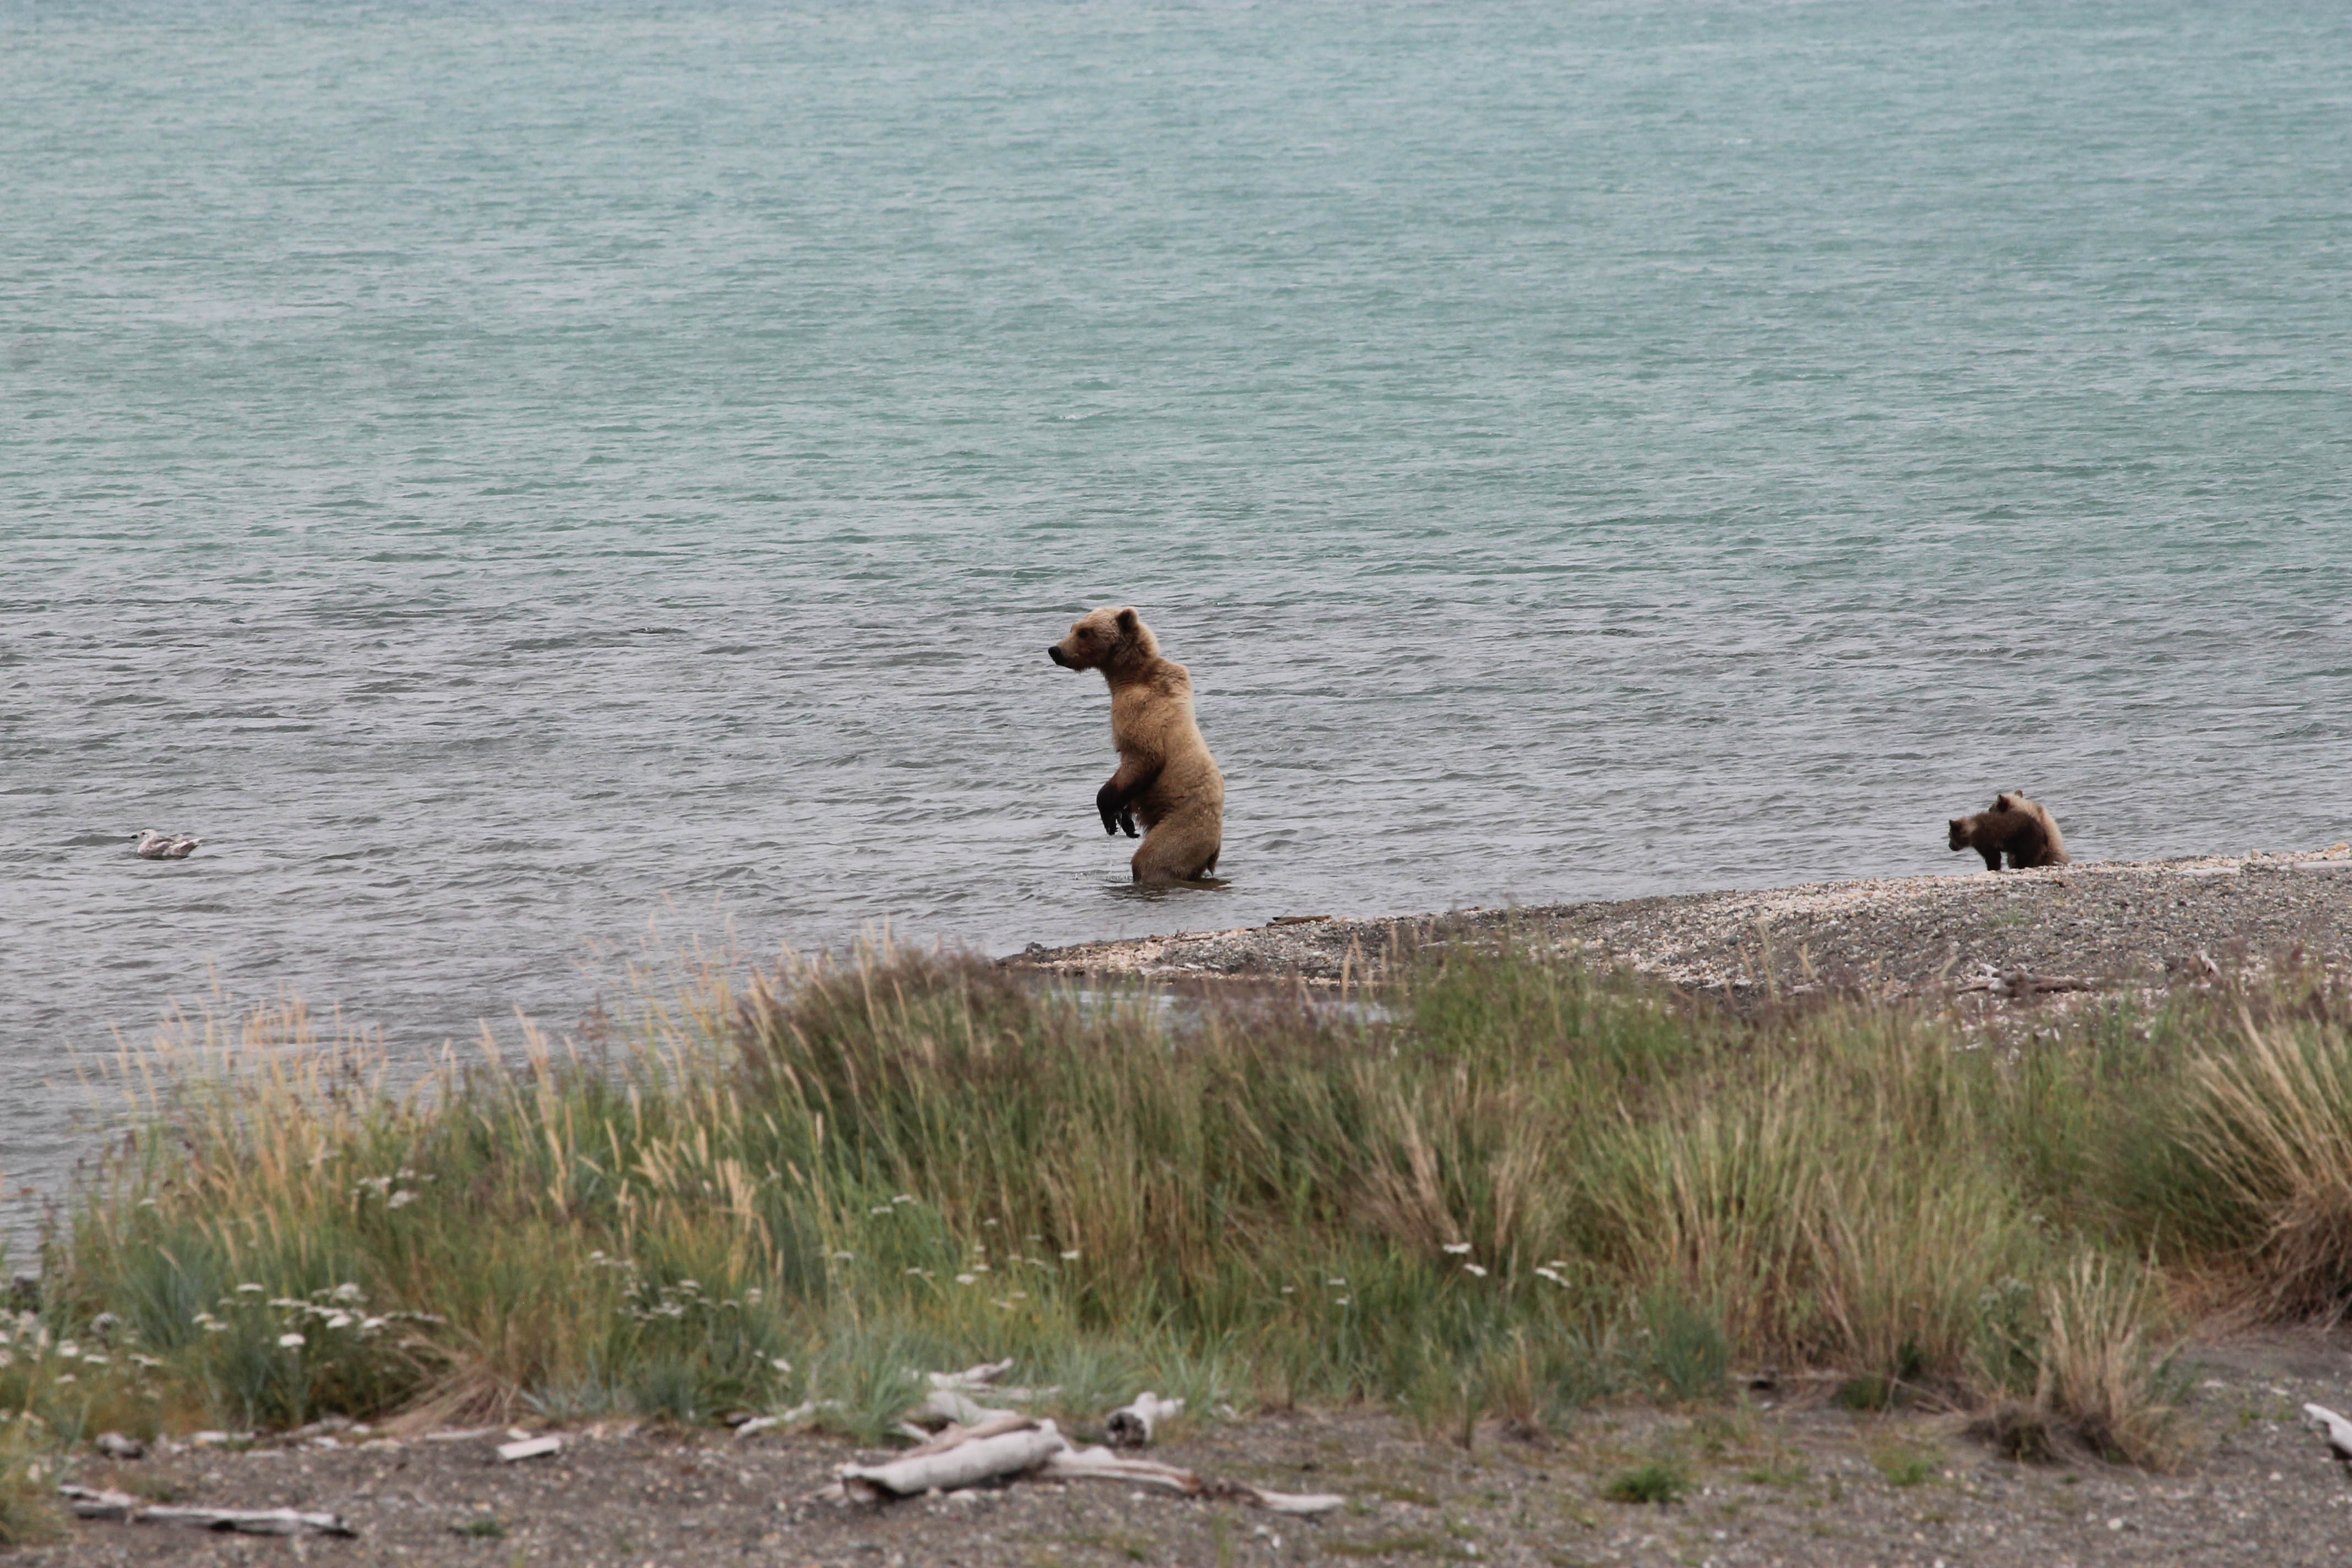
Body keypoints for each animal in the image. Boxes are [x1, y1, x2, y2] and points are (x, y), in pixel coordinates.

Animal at [1047, 607, 1225, 885]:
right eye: (1073, 627)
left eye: (1085, 632)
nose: (1055, 650)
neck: (1128, 676)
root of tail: (1214, 850)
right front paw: (1125, 818)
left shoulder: (1137, 709)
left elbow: (1143, 757)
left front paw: (1107, 809)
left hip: (1184, 826)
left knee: (1153, 859)